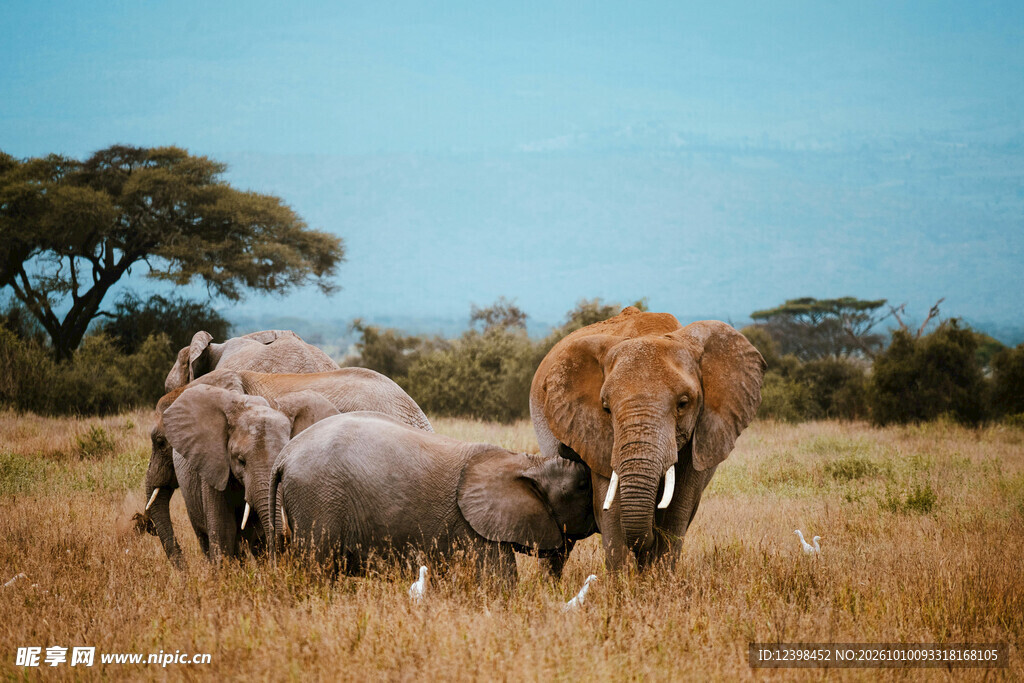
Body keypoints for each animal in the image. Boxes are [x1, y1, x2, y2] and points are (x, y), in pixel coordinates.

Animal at [268, 412, 597, 584]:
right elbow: (498, 582)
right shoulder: (474, 530)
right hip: (319, 500)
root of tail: (283, 456)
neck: (527, 463)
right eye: (583, 486)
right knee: (316, 568)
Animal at [530, 306, 765, 571]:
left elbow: (676, 512)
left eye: (683, 403)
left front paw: (658, 579)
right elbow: (612, 513)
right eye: (606, 408)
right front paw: (623, 581)